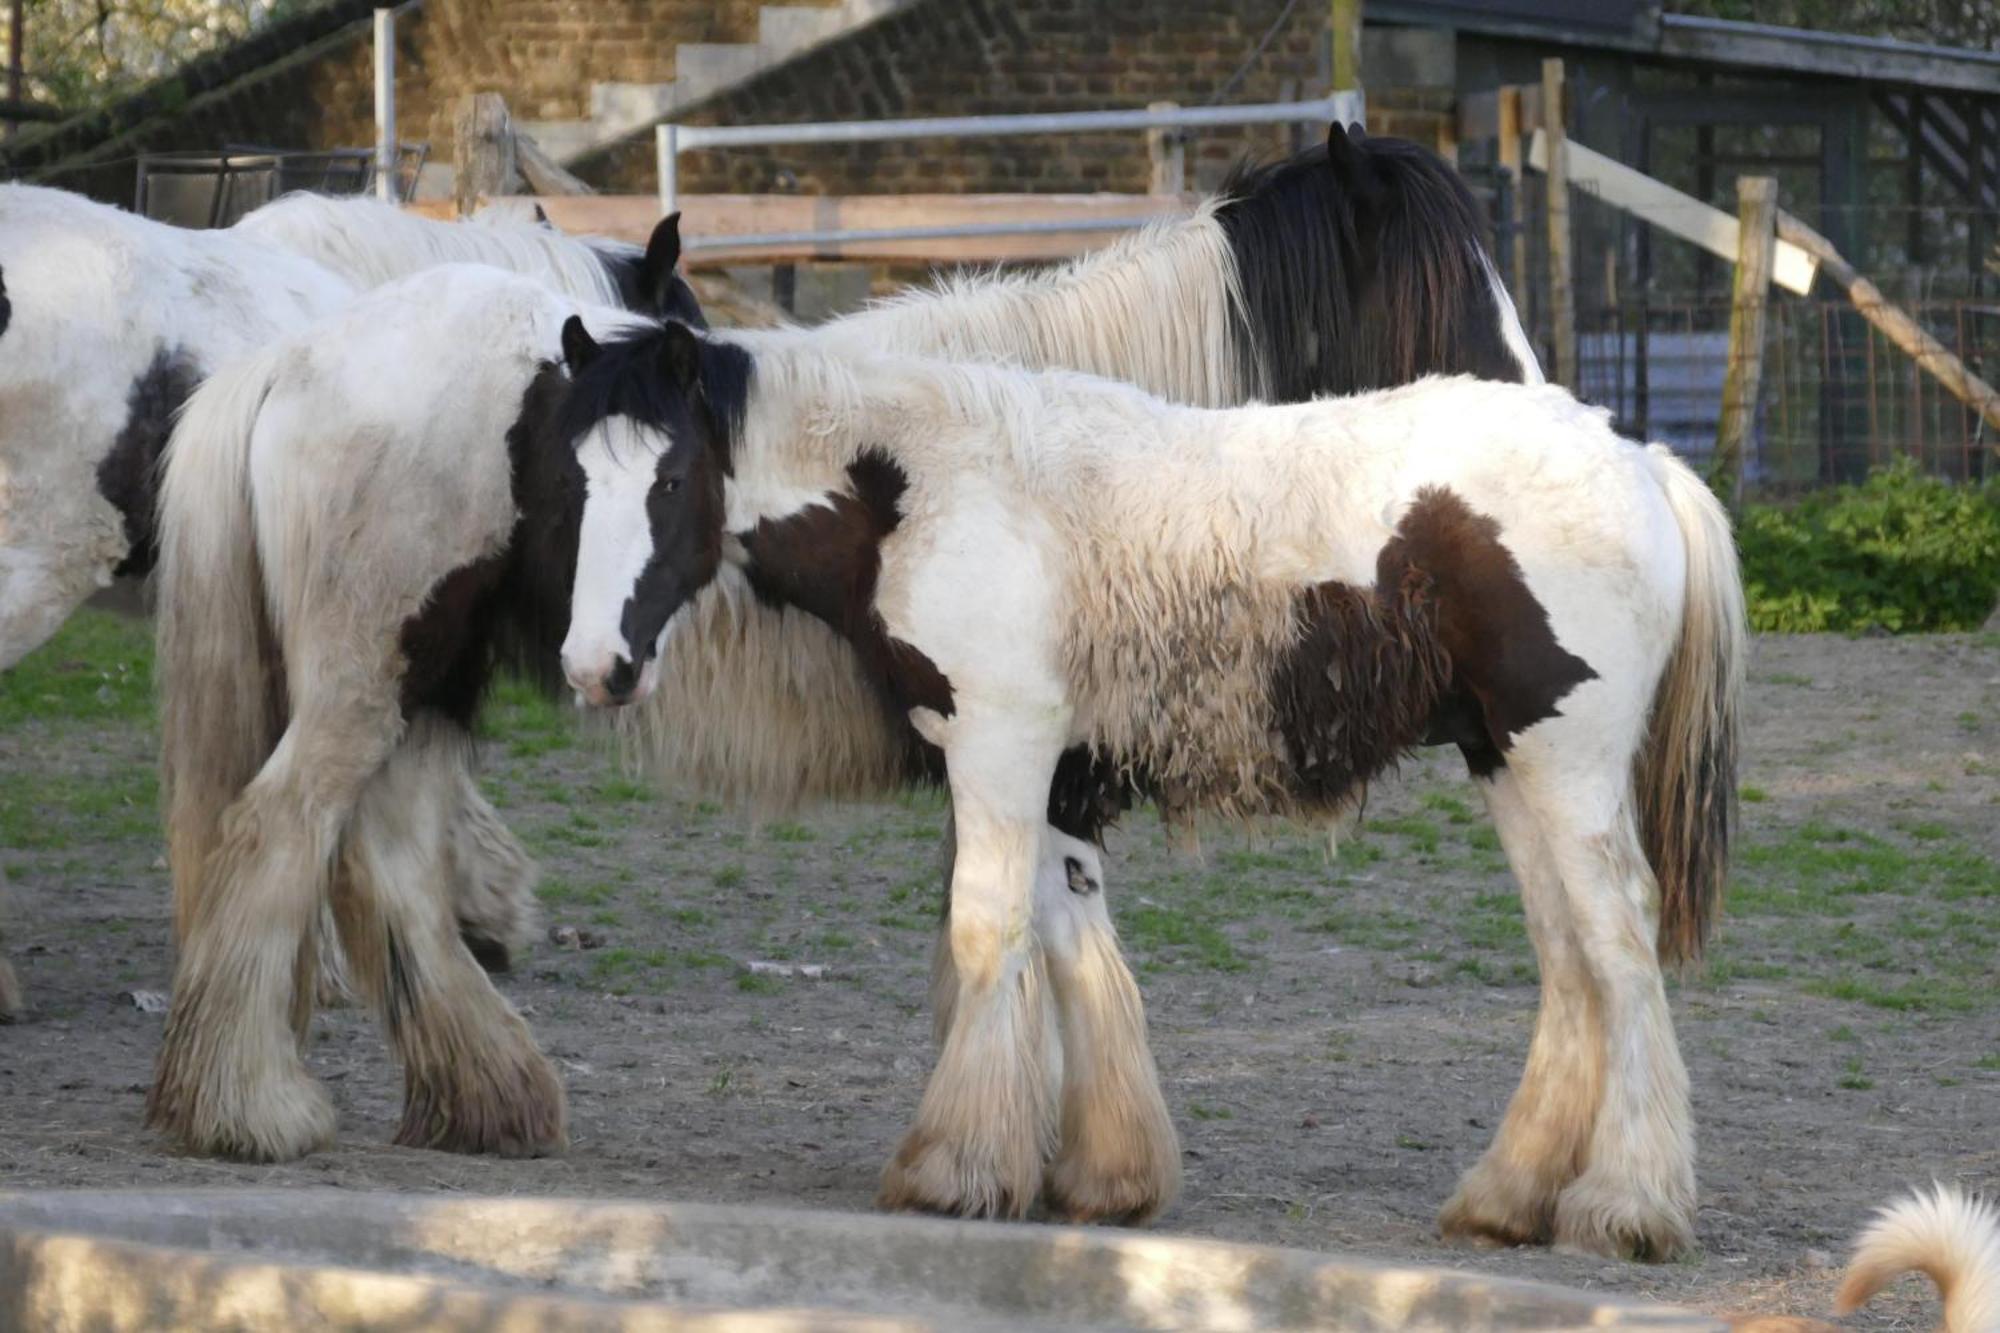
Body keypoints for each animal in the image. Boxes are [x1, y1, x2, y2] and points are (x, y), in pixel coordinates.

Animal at [556, 320, 1744, 1256]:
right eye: (571, 482)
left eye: (670, 480)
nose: (593, 667)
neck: (927, 489)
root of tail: (1642, 462)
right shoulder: (1057, 782)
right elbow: (1072, 946)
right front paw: (1104, 1179)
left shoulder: (998, 748)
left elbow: (987, 935)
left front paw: (953, 1168)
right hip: (1506, 761)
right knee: (1567, 954)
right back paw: (1510, 1197)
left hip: (1566, 762)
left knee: (1618, 942)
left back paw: (1627, 1206)